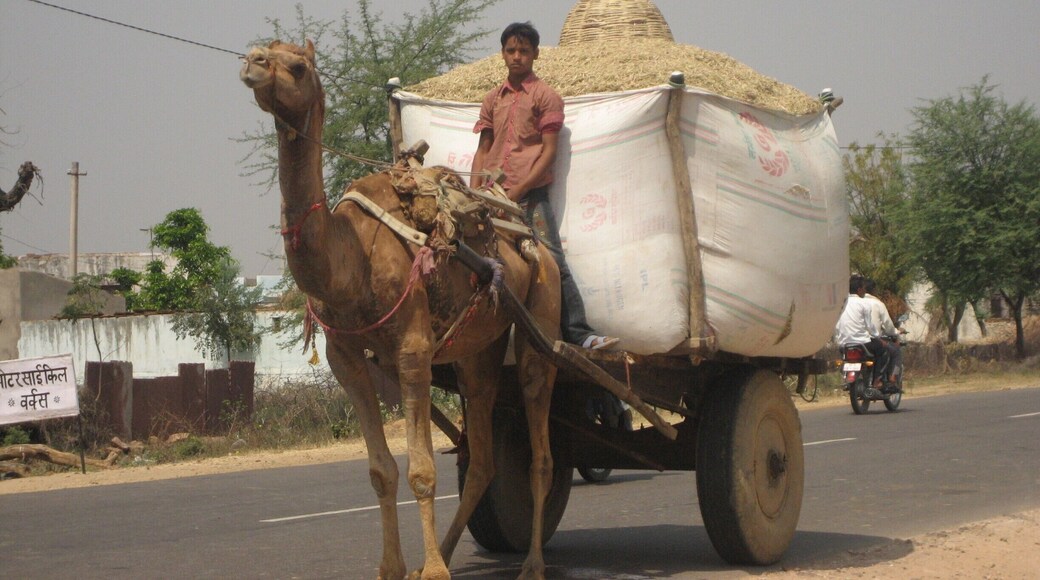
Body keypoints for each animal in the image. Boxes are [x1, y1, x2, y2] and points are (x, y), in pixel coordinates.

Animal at [240, 40, 562, 580]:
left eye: (298, 66)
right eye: (258, 49)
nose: (253, 64)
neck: (350, 259)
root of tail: (538, 244)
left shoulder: (413, 349)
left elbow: (422, 471)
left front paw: (430, 571)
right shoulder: (346, 358)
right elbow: (381, 470)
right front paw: (395, 568)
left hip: (541, 321)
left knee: (541, 452)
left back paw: (533, 565)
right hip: (478, 349)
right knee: (483, 458)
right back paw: (451, 551)